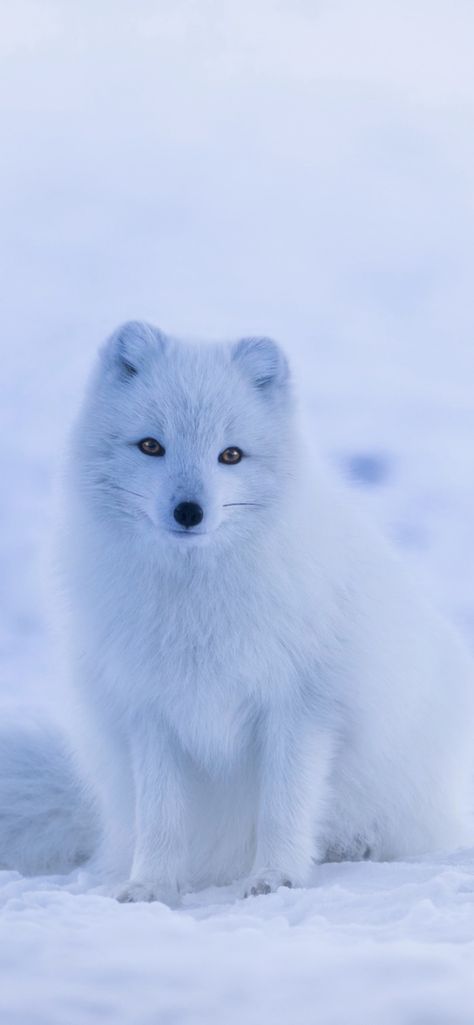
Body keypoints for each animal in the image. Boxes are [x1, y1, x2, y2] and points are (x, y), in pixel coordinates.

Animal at [0, 321, 474, 906]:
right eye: (151, 446)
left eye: (231, 455)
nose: (189, 511)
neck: (196, 602)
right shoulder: (149, 711)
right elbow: (160, 817)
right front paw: (151, 886)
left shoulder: (300, 707)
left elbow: (284, 807)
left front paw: (277, 878)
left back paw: (352, 846)